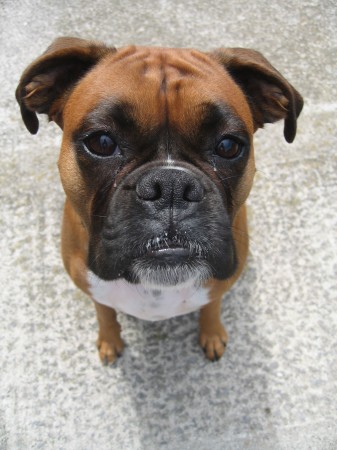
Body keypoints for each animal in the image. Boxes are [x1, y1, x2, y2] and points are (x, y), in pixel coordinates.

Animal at [15, 37, 304, 364]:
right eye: (102, 142)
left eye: (229, 146)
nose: (171, 186)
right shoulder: (93, 289)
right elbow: (104, 312)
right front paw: (109, 339)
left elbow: (212, 306)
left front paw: (212, 333)